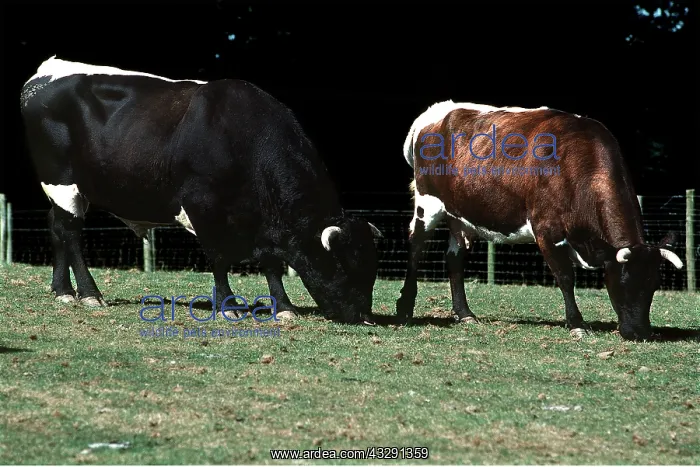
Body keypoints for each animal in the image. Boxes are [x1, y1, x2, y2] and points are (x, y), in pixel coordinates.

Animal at [19, 55, 383, 324]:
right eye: (342, 266)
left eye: (372, 268)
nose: (362, 316)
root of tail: (46, 71)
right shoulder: (202, 207)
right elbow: (219, 259)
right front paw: (229, 306)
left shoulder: (262, 222)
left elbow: (271, 264)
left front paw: (284, 307)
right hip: (62, 182)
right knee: (71, 234)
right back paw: (89, 294)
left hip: (62, 191)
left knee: (56, 229)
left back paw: (62, 291)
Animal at [396, 100, 684, 341]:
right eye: (623, 283)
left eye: (654, 285)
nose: (641, 333)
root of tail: (434, 112)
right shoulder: (546, 229)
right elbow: (565, 277)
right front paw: (576, 324)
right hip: (427, 203)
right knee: (416, 247)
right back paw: (404, 308)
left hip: (460, 216)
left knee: (454, 259)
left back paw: (465, 314)